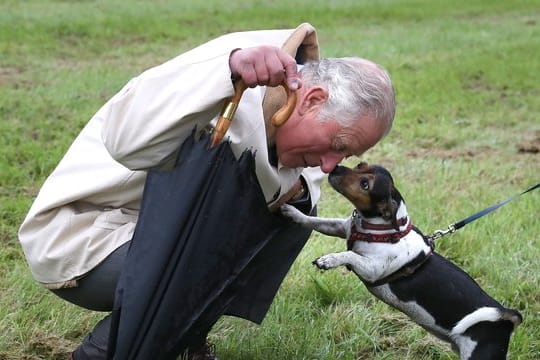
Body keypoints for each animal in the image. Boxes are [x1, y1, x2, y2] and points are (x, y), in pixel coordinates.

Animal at [282, 164, 524, 360]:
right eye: (361, 165)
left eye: (365, 184)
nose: (335, 168)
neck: (380, 229)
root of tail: (507, 316)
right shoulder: (340, 228)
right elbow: (315, 221)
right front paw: (293, 212)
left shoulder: (372, 269)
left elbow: (349, 255)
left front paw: (329, 259)